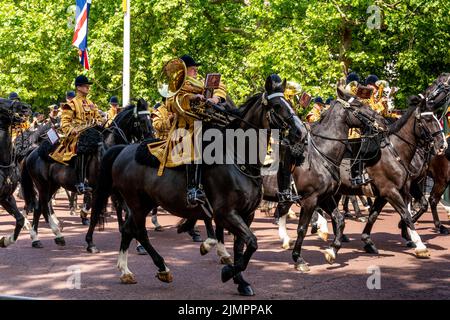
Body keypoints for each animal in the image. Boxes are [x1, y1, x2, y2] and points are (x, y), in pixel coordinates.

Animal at [20, 99, 154, 249]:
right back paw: (49, 235)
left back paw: (40, 238)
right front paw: (90, 242)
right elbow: (95, 214)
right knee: (42, 207)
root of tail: (32, 151)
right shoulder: (98, 190)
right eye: (142, 120)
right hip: (43, 185)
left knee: (39, 207)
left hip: (52, 185)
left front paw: (138, 244)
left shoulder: (117, 190)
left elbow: (128, 211)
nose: (151, 141)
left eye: (151, 118)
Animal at [86, 74, 308, 296]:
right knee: (139, 232)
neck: (239, 157)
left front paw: (241, 281)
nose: (300, 133)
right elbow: (252, 242)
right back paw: (162, 268)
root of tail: (123, 149)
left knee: (127, 229)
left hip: (144, 203)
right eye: (277, 105)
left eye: (290, 104)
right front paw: (227, 272)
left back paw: (126, 271)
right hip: (137, 203)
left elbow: (241, 247)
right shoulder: (226, 213)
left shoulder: (247, 214)